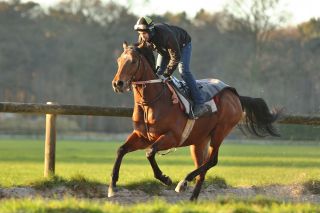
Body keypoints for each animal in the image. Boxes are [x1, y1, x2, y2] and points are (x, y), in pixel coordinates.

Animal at [109, 42, 278, 201]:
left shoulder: (172, 137)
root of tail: (234, 95)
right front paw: (112, 187)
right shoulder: (143, 136)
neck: (151, 102)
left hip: (220, 131)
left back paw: (183, 182)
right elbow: (121, 150)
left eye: (132, 61)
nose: (117, 84)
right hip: (199, 141)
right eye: (118, 60)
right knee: (203, 168)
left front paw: (165, 178)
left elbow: (150, 152)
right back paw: (192, 198)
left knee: (212, 161)